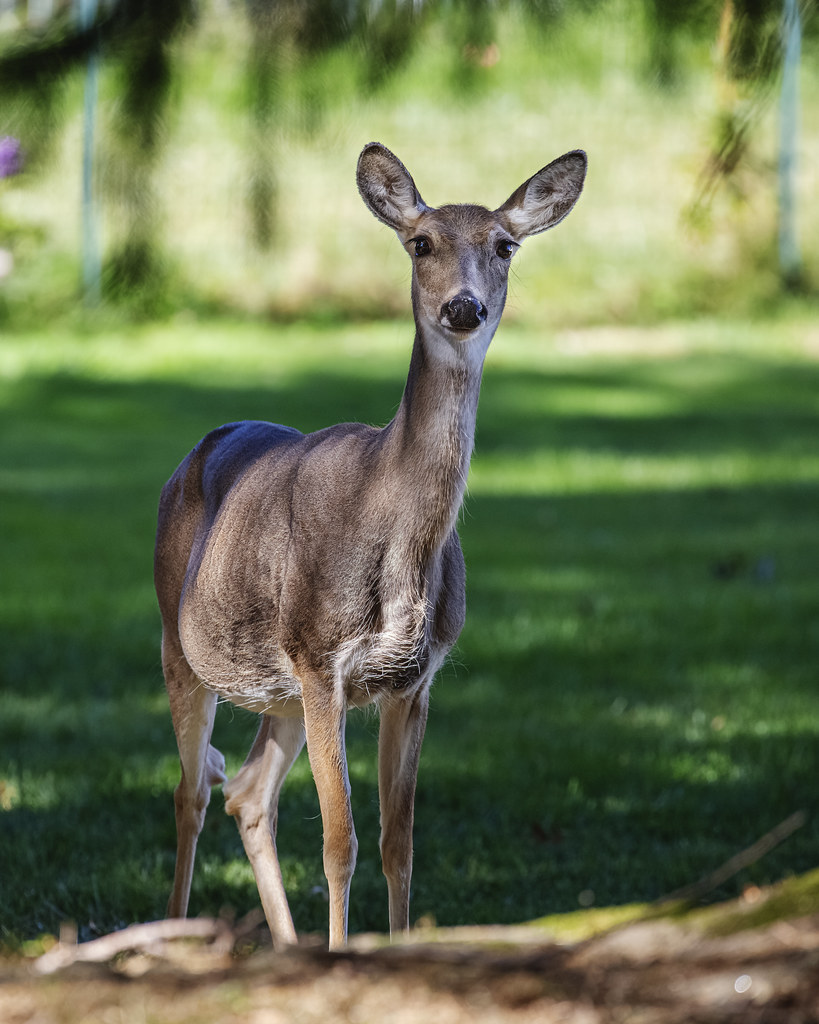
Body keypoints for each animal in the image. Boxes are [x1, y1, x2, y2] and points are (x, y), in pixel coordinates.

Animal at [153, 141, 587, 951]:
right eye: (420, 243)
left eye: (504, 245)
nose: (462, 307)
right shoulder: (320, 656)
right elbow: (339, 840)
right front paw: (343, 950)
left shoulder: (415, 677)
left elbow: (398, 842)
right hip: (182, 640)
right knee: (190, 791)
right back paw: (170, 934)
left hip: (280, 691)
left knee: (247, 792)